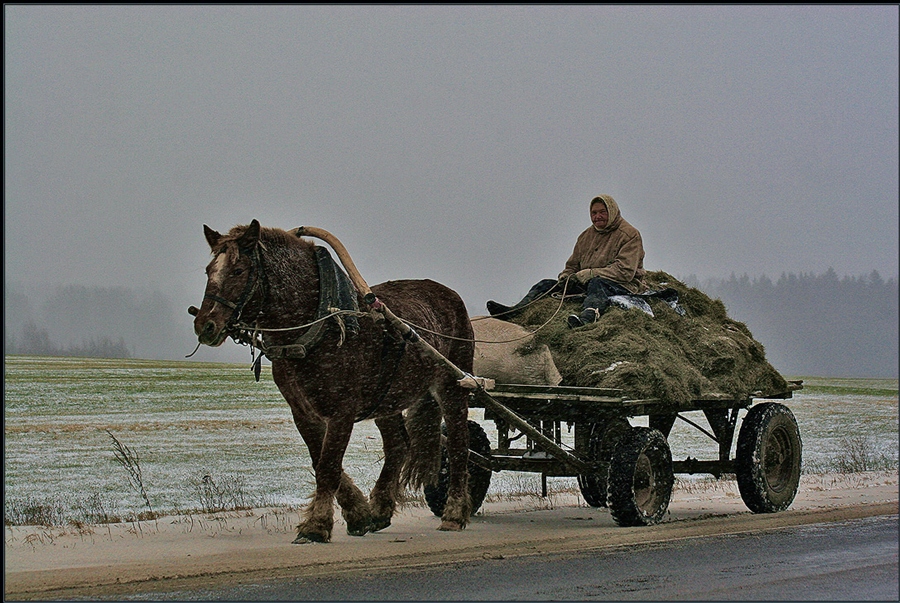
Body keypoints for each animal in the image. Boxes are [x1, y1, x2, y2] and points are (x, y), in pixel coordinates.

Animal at [189, 221, 472, 544]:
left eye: (238, 270)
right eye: (209, 270)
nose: (205, 325)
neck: (320, 322)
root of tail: (450, 295)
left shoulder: (342, 412)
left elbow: (328, 466)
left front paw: (317, 524)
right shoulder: (303, 412)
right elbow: (320, 461)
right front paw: (358, 513)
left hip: (453, 386)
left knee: (459, 445)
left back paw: (454, 512)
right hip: (387, 399)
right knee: (398, 446)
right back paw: (380, 509)